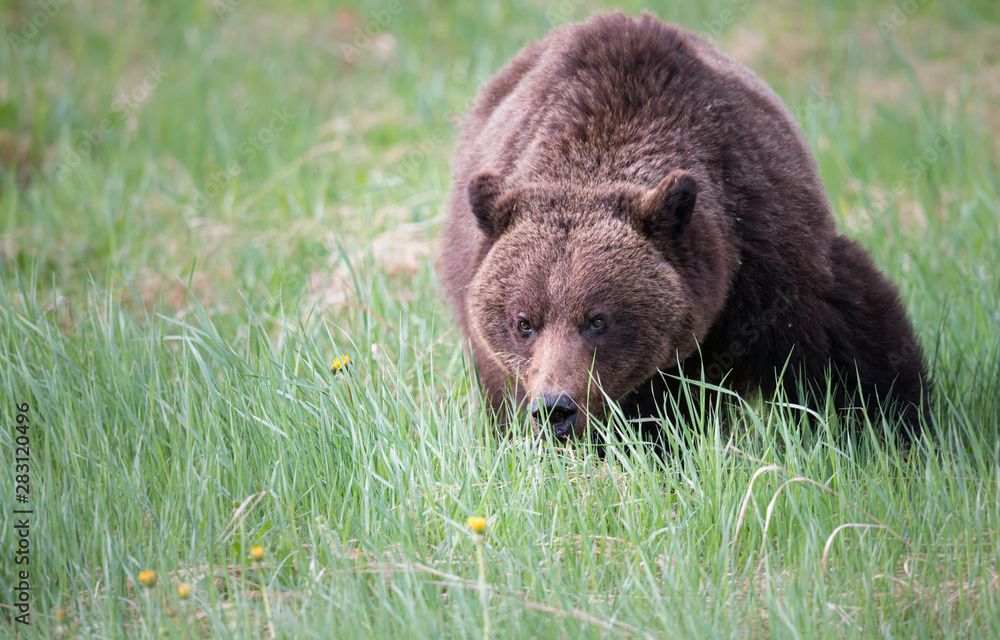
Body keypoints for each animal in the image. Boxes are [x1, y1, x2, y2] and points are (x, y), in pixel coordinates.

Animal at [438, 12, 930, 444]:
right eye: (524, 322)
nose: (556, 408)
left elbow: (852, 344)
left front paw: (895, 431)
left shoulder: (768, 246)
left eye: (597, 319)